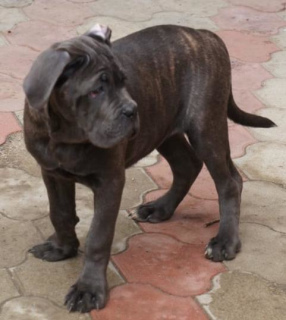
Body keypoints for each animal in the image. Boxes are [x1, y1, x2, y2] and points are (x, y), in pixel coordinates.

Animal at [22, 23, 274, 312]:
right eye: (95, 91)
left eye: (124, 81)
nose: (132, 110)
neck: (66, 136)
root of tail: (206, 35)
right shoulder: (52, 173)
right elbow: (60, 213)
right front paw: (62, 249)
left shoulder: (110, 181)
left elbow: (98, 236)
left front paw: (89, 289)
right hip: (164, 128)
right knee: (187, 165)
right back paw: (159, 208)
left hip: (206, 127)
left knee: (229, 182)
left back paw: (225, 242)